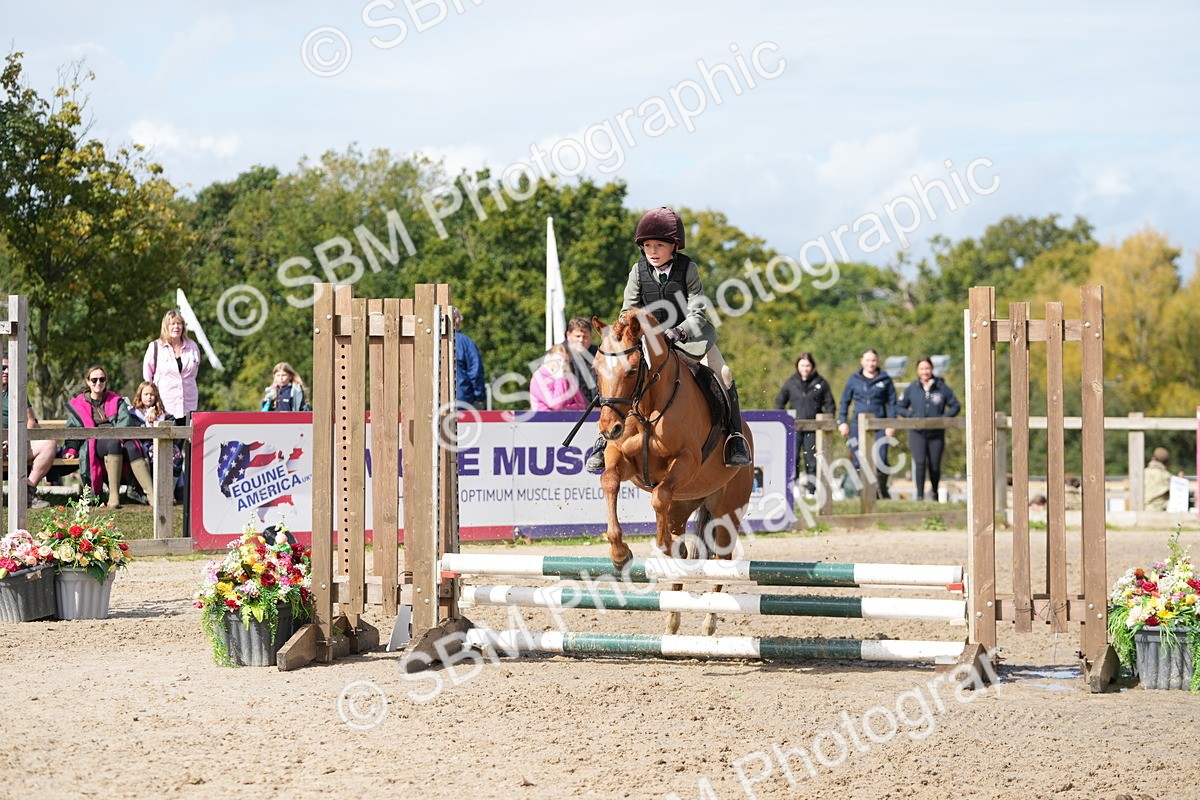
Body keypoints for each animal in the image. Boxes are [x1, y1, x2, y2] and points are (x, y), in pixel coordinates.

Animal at [590, 308, 755, 635]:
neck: (647, 406)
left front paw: (662, 545)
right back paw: (672, 622)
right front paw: (620, 554)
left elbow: (658, 495)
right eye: (596, 368)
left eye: (632, 371)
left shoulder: (686, 461)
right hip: (685, 504)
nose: (608, 428)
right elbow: (610, 481)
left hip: (727, 510)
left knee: (722, 558)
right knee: (684, 548)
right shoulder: (622, 459)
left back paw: (709, 621)